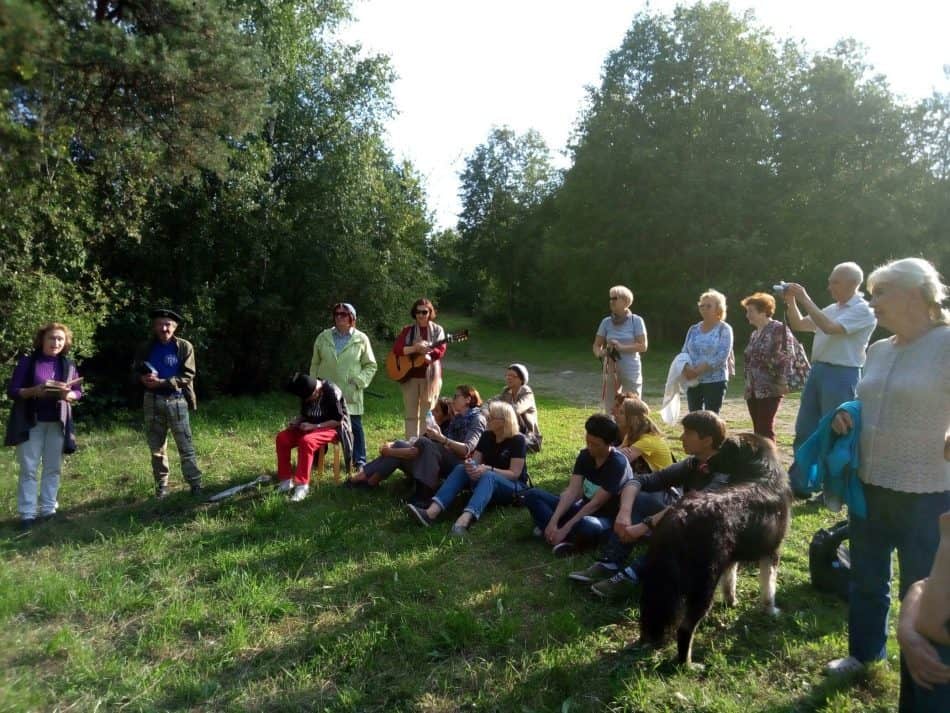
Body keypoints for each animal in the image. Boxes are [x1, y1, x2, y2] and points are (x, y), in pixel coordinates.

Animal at [640, 434, 796, 668]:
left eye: (723, 450)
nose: (707, 461)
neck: (760, 474)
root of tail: (679, 516)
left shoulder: (731, 560)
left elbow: (730, 583)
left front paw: (732, 603)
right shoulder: (771, 553)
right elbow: (769, 588)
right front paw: (770, 611)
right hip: (703, 586)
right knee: (684, 629)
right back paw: (687, 665)